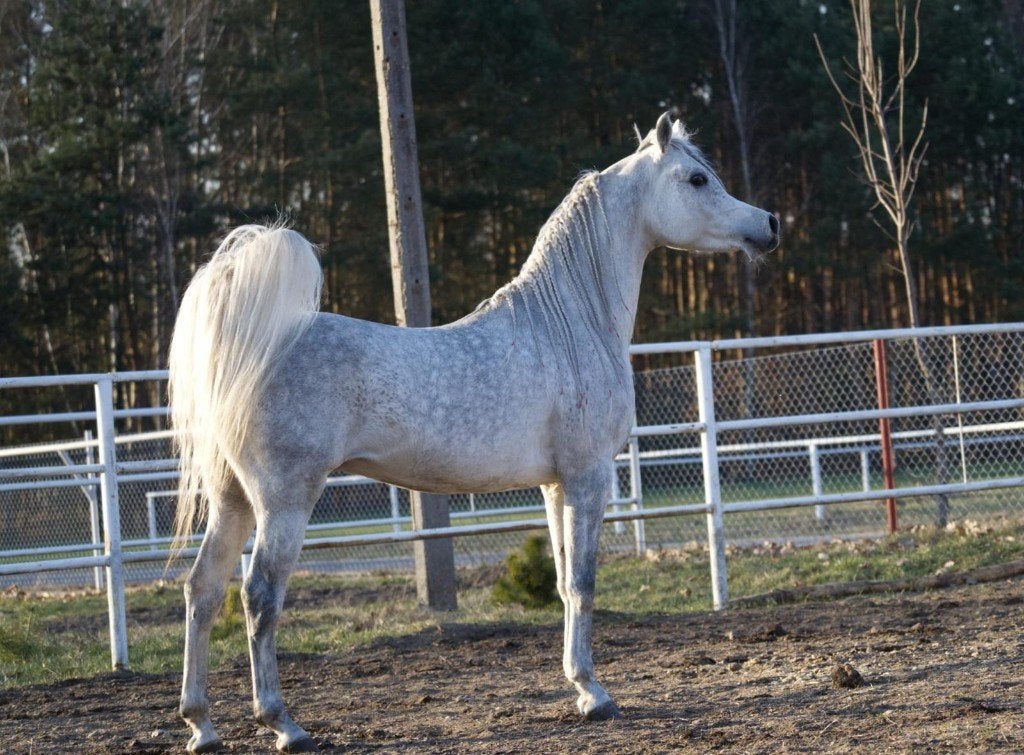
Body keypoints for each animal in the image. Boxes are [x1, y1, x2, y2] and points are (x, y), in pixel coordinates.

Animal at [169, 112, 779, 753]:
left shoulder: (555, 486)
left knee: (202, 590)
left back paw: (202, 725)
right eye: (696, 178)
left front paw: (579, 686)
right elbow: (584, 582)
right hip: (283, 501)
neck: (568, 324)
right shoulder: (587, 477)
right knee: (259, 597)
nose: (769, 224)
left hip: (233, 501)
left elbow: (563, 582)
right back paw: (283, 724)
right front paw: (597, 695)